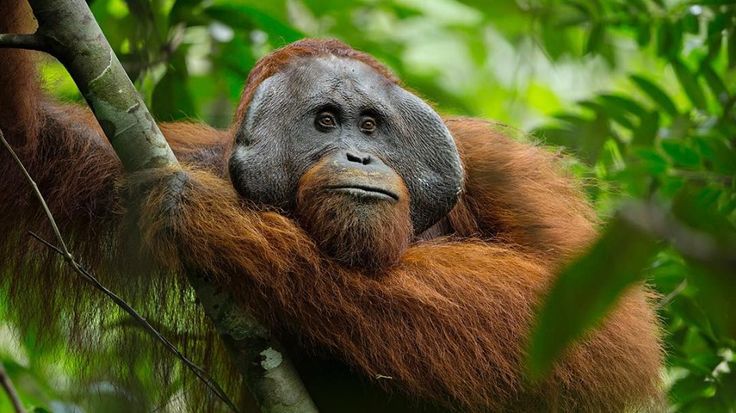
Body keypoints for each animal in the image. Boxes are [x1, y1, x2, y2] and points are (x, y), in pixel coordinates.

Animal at [0, 1, 663, 412]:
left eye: (369, 124)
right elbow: (29, 145)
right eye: (324, 121)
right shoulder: (153, 156)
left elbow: (602, 327)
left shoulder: (495, 167)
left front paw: (217, 220)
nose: (359, 156)